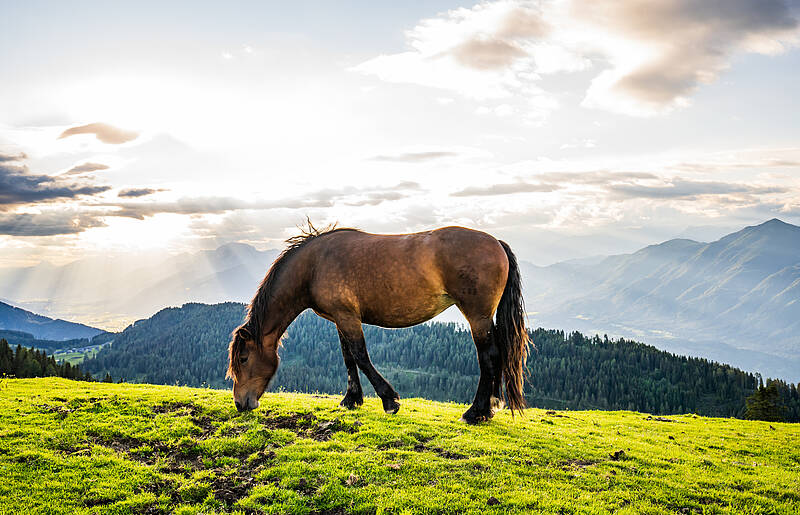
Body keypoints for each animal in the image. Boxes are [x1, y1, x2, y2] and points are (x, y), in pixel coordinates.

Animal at [228, 224, 532, 426]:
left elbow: (361, 356)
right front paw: (351, 400)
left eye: (243, 359)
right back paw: (492, 405)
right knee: (497, 354)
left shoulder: (348, 317)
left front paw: (389, 400)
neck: (314, 266)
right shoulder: (340, 319)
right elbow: (349, 358)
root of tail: (496, 242)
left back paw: (476, 412)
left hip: (477, 315)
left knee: (488, 356)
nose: (240, 403)